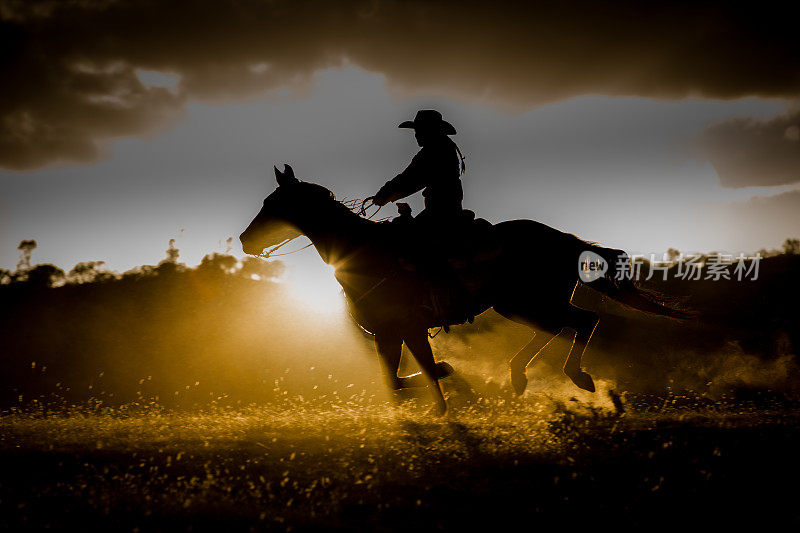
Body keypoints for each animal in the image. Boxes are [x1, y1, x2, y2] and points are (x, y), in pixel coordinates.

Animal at [239, 164, 688, 414]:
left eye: (272, 204)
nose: (245, 240)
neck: (362, 251)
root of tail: (565, 240)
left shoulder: (404, 328)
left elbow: (415, 374)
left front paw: (445, 383)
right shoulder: (389, 334)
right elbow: (395, 381)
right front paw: (441, 395)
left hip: (530, 302)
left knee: (582, 321)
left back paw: (575, 377)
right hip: (520, 304)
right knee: (562, 326)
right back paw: (519, 376)